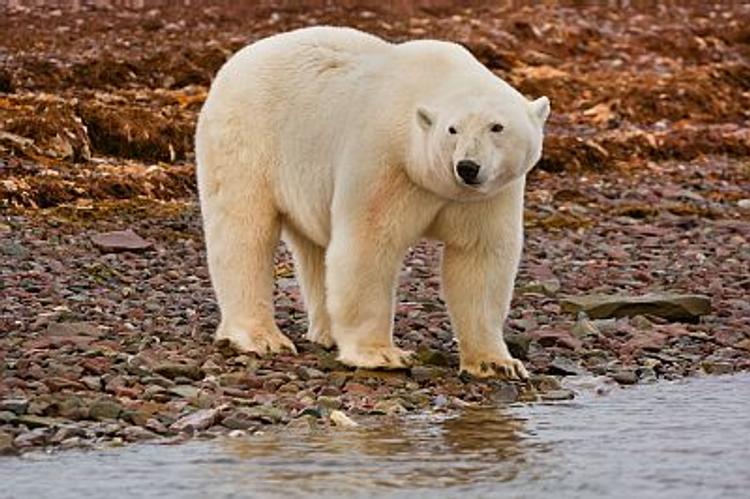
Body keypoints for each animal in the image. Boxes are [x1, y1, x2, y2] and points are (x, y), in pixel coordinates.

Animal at [198, 26, 552, 378]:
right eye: (452, 129)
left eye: (497, 126)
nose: (467, 166)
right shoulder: (385, 161)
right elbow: (368, 247)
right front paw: (381, 355)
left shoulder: (488, 195)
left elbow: (479, 257)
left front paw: (497, 362)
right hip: (247, 138)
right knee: (245, 233)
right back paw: (262, 337)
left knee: (314, 249)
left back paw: (326, 333)